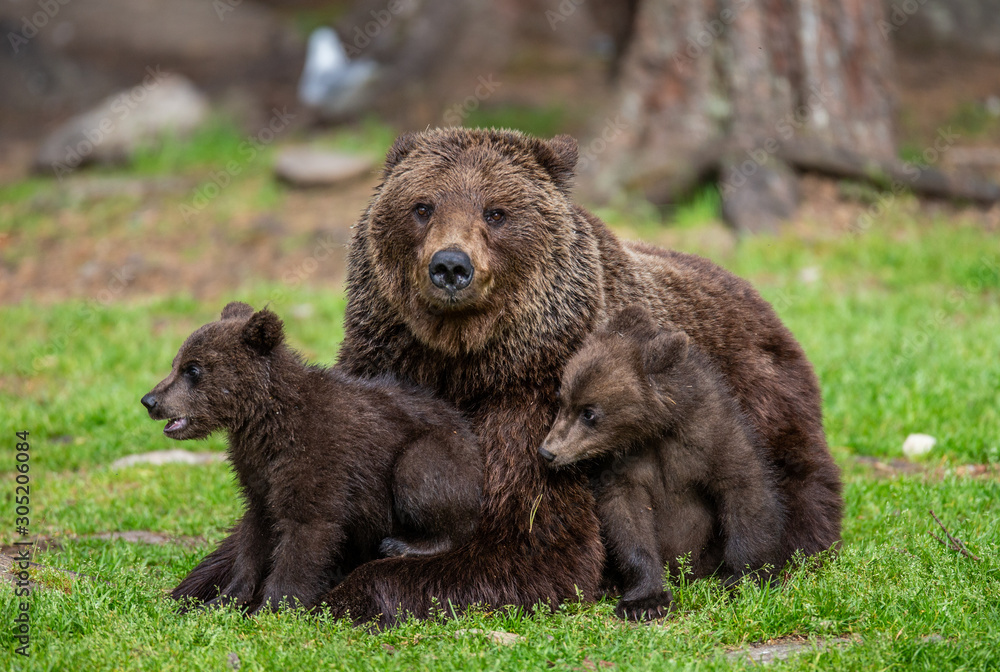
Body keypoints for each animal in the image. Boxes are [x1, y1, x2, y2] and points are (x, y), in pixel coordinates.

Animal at [142, 302, 482, 613]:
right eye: (175, 363)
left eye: (193, 369)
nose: (150, 400)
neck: (266, 421)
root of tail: (466, 430)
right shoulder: (258, 470)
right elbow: (255, 535)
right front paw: (222, 599)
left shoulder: (317, 456)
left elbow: (306, 530)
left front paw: (272, 606)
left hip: (438, 452)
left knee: (423, 478)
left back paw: (403, 544)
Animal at [538, 305, 787, 621]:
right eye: (561, 399)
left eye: (589, 413)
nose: (547, 451)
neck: (655, 431)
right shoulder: (622, 467)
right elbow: (627, 520)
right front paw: (646, 601)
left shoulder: (711, 434)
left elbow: (744, 489)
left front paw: (744, 579)